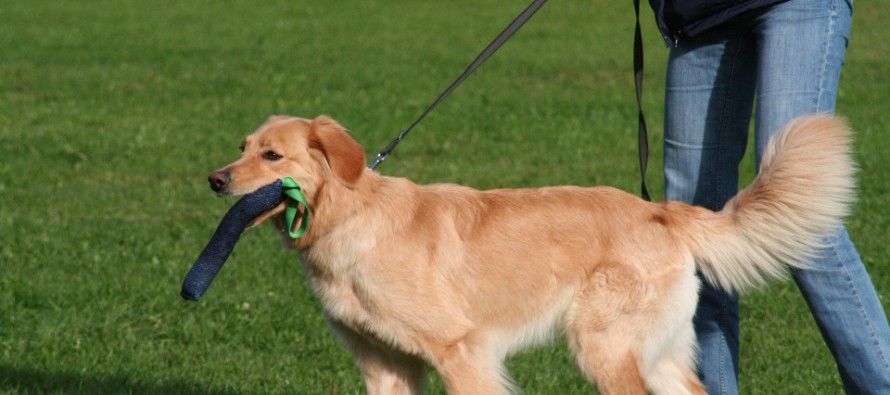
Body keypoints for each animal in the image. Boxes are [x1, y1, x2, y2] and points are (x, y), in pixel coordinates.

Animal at [206, 114, 852, 395]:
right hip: (653, 352)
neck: (350, 219)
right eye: (240, 147)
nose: (214, 179)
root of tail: (660, 210)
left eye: (271, 156)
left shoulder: (461, 351)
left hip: (602, 348)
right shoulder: (385, 366)